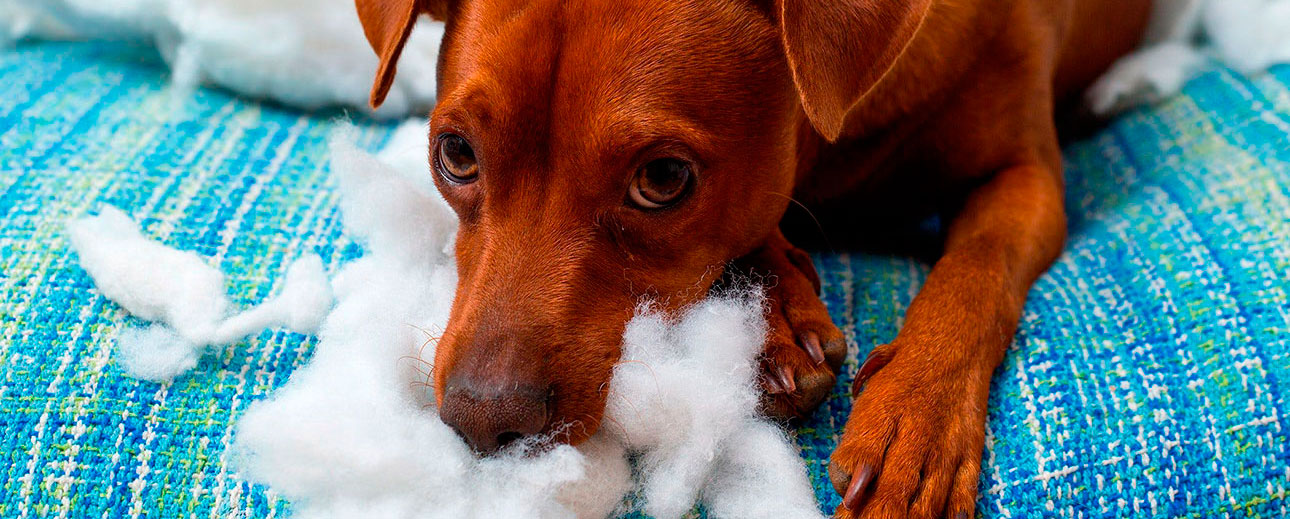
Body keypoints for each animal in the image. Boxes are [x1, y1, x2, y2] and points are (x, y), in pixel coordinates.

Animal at [353, 2, 1150, 516]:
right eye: (456, 155)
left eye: (663, 179)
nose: (482, 422)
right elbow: (756, 221)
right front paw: (775, 324)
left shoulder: (1027, 180)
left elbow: (975, 273)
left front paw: (915, 419)